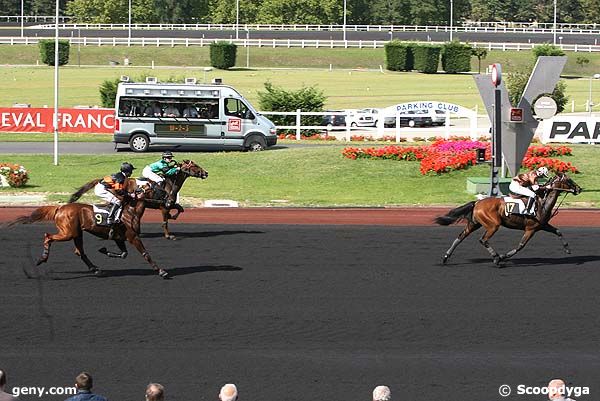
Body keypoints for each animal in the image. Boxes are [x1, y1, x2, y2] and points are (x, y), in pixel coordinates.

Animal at [6, 178, 171, 278]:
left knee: (80, 251)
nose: (169, 200)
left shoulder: (119, 237)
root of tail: (60, 208)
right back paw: (42, 258)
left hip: (77, 233)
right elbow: (145, 254)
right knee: (48, 237)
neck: (130, 211)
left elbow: (123, 254)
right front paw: (162, 271)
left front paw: (104, 250)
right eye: (158, 189)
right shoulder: (132, 236)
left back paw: (95, 269)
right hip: (67, 233)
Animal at [68, 159, 207, 239]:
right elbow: (165, 221)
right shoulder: (164, 206)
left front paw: (173, 216)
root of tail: (101, 180)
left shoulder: (169, 204)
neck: (170, 184)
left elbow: (180, 209)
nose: (206, 173)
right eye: (195, 166)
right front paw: (168, 235)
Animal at [436, 173, 580, 264]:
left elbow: (558, 231)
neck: (542, 202)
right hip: (493, 225)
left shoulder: (542, 225)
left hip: (474, 223)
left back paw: (445, 257)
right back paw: (496, 258)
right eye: (569, 180)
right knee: (483, 240)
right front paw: (503, 256)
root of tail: (477, 203)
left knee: (460, 237)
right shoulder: (531, 229)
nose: (579, 188)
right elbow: (521, 246)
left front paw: (567, 249)